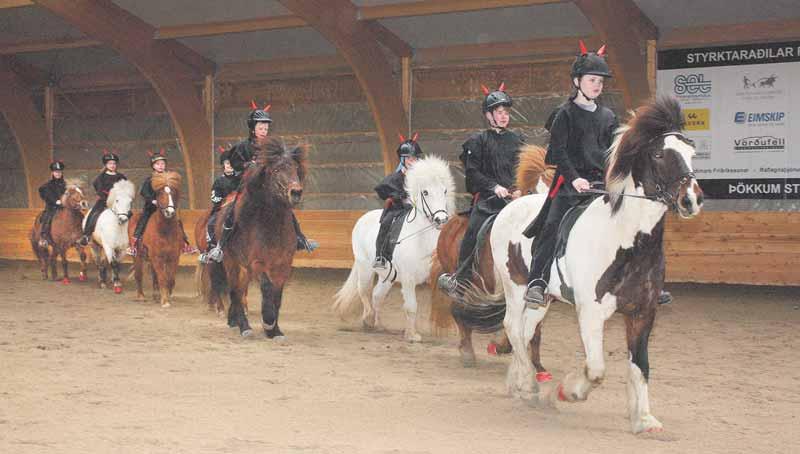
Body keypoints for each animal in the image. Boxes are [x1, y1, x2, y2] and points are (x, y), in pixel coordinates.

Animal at [127, 171, 184, 308]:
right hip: (137, 256)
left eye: (173, 192)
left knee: (154, 276)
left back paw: (156, 295)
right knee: (139, 275)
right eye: (160, 193)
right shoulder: (157, 257)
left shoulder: (174, 257)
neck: (165, 230)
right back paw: (141, 296)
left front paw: (167, 296)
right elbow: (162, 278)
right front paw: (165, 301)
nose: (169, 212)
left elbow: (170, 279)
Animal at [206, 140, 306, 338]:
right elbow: (267, 287)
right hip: (231, 263)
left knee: (240, 290)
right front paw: (267, 321)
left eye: (295, 168)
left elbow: (277, 295)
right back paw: (244, 327)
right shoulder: (257, 263)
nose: (296, 192)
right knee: (235, 291)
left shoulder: (283, 265)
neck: (272, 226)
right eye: (276, 169)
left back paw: (234, 321)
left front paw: (275, 330)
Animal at [332, 154, 456, 342]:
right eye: (425, 192)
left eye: (444, 191)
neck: (420, 238)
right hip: (365, 268)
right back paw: (368, 319)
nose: (441, 219)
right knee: (364, 291)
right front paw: (412, 335)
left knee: (377, 296)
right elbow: (411, 306)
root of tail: (363, 219)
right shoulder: (408, 278)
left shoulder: (434, 275)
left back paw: (379, 325)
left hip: (387, 276)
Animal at [428, 145, 552, 366]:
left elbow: (534, 328)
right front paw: (504, 348)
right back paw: (467, 353)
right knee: (459, 311)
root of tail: (449, 224)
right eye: (531, 192)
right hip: (462, 282)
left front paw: (537, 365)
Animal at [460, 96, 704, 432]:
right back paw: (530, 385)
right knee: (512, 326)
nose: (691, 200)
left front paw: (643, 419)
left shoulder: (643, 313)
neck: (626, 241)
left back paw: (519, 383)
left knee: (525, 330)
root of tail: (509, 206)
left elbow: (640, 366)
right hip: (515, 286)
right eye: (658, 154)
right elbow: (597, 369)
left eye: (691, 153)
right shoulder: (591, 312)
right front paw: (570, 391)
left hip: (542, 299)